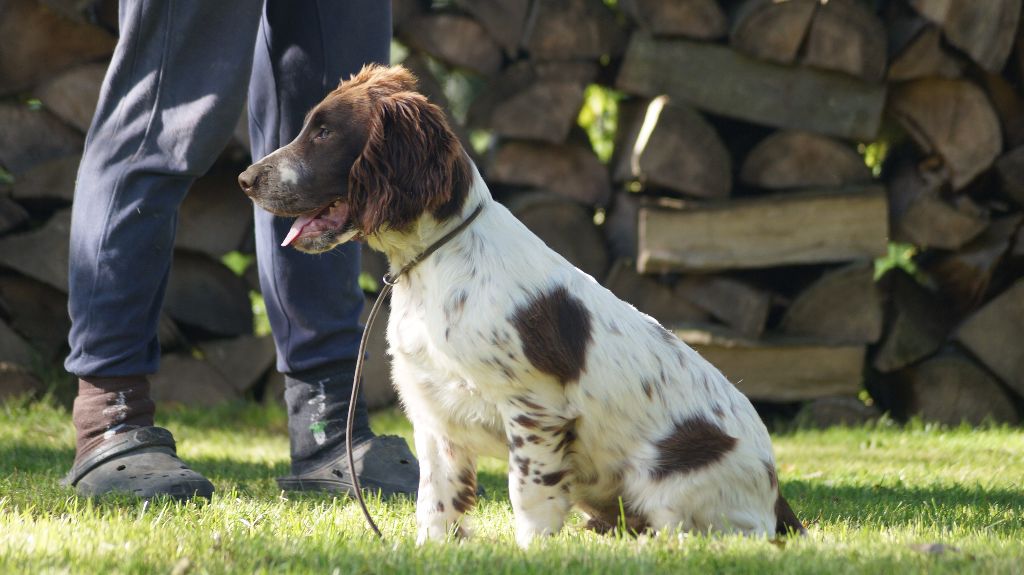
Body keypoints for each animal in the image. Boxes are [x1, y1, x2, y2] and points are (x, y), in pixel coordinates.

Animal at [235, 63, 802, 544]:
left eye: (324, 133)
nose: (245, 179)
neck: (434, 263)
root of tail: (778, 498)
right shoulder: (435, 415)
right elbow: (434, 499)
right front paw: (429, 550)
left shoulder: (535, 407)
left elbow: (527, 494)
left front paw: (531, 553)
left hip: (668, 478)